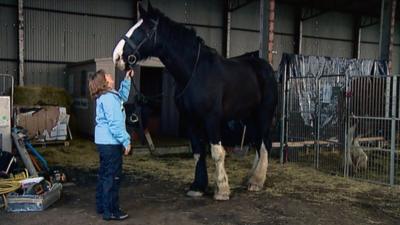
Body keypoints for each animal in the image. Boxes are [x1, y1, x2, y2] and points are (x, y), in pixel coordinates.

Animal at [111, 3, 276, 200]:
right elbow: (198, 152)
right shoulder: (190, 119)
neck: (194, 72)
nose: (117, 57)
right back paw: (251, 178)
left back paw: (257, 182)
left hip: (264, 114)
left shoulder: (211, 119)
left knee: (265, 143)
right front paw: (198, 186)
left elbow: (217, 152)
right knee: (258, 142)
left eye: (144, 29)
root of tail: (266, 67)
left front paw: (221, 190)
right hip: (248, 117)